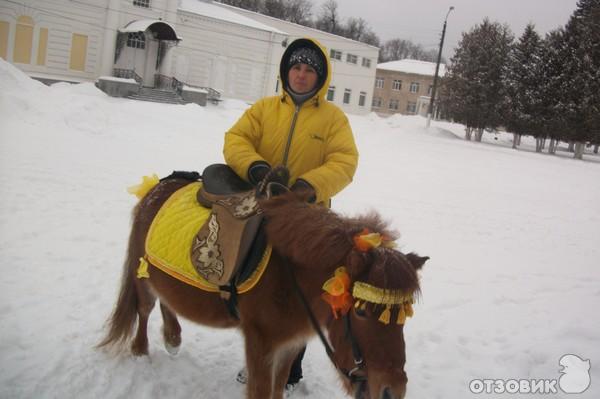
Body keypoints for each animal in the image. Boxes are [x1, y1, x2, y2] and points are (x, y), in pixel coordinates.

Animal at [99, 179, 426, 399]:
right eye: (360, 312)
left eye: (403, 317)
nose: (392, 390)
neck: (288, 277)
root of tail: (158, 186)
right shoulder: (260, 343)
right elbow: (260, 391)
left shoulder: (289, 345)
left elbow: (277, 389)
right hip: (142, 274)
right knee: (144, 308)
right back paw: (141, 350)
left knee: (167, 298)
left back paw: (172, 337)